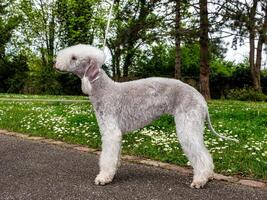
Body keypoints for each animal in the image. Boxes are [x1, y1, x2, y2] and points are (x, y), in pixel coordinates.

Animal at [54, 44, 239, 189]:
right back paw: (208, 175)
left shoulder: (111, 131)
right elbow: (115, 155)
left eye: (74, 57)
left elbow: (107, 156)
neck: (103, 89)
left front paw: (104, 177)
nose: (55, 62)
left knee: (200, 155)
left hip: (187, 124)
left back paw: (200, 180)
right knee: (205, 153)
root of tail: (201, 99)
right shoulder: (115, 132)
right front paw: (114, 170)